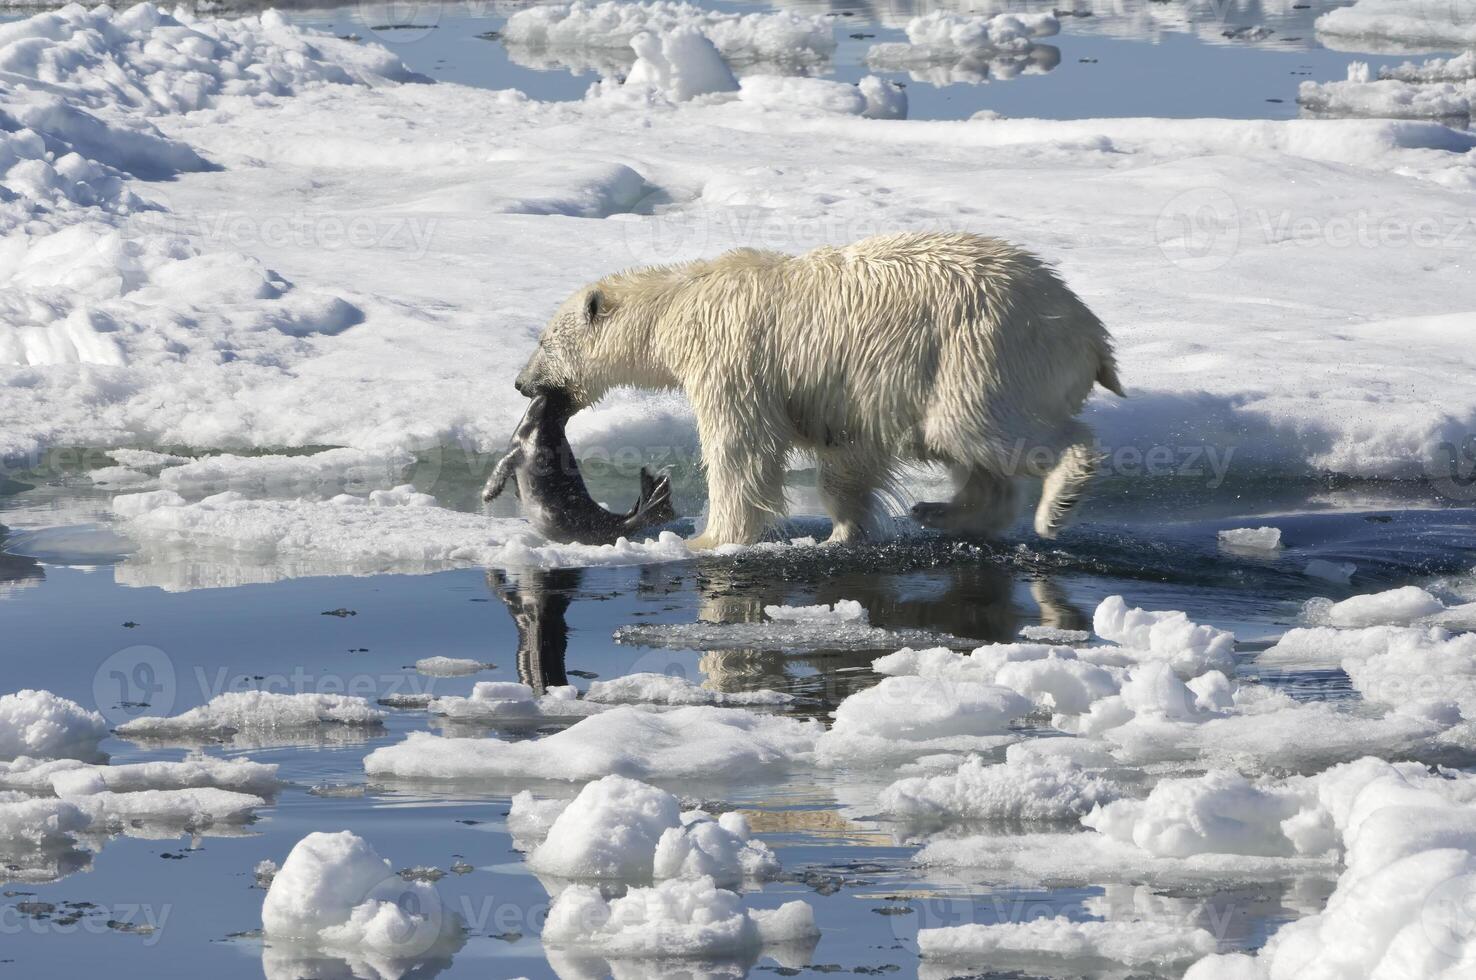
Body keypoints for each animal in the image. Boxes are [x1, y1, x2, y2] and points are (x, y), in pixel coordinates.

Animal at [513, 233, 1121, 546]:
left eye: (542, 339)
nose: (521, 383)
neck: (679, 305)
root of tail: (1090, 332)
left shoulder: (732, 357)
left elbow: (741, 449)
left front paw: (708, 538)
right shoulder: (843, 392)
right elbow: (847, 456)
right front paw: (844, 531)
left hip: (982, 351)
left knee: (981, 427)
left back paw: (1055, 505)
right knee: (963, 447)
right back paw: (940, 512)